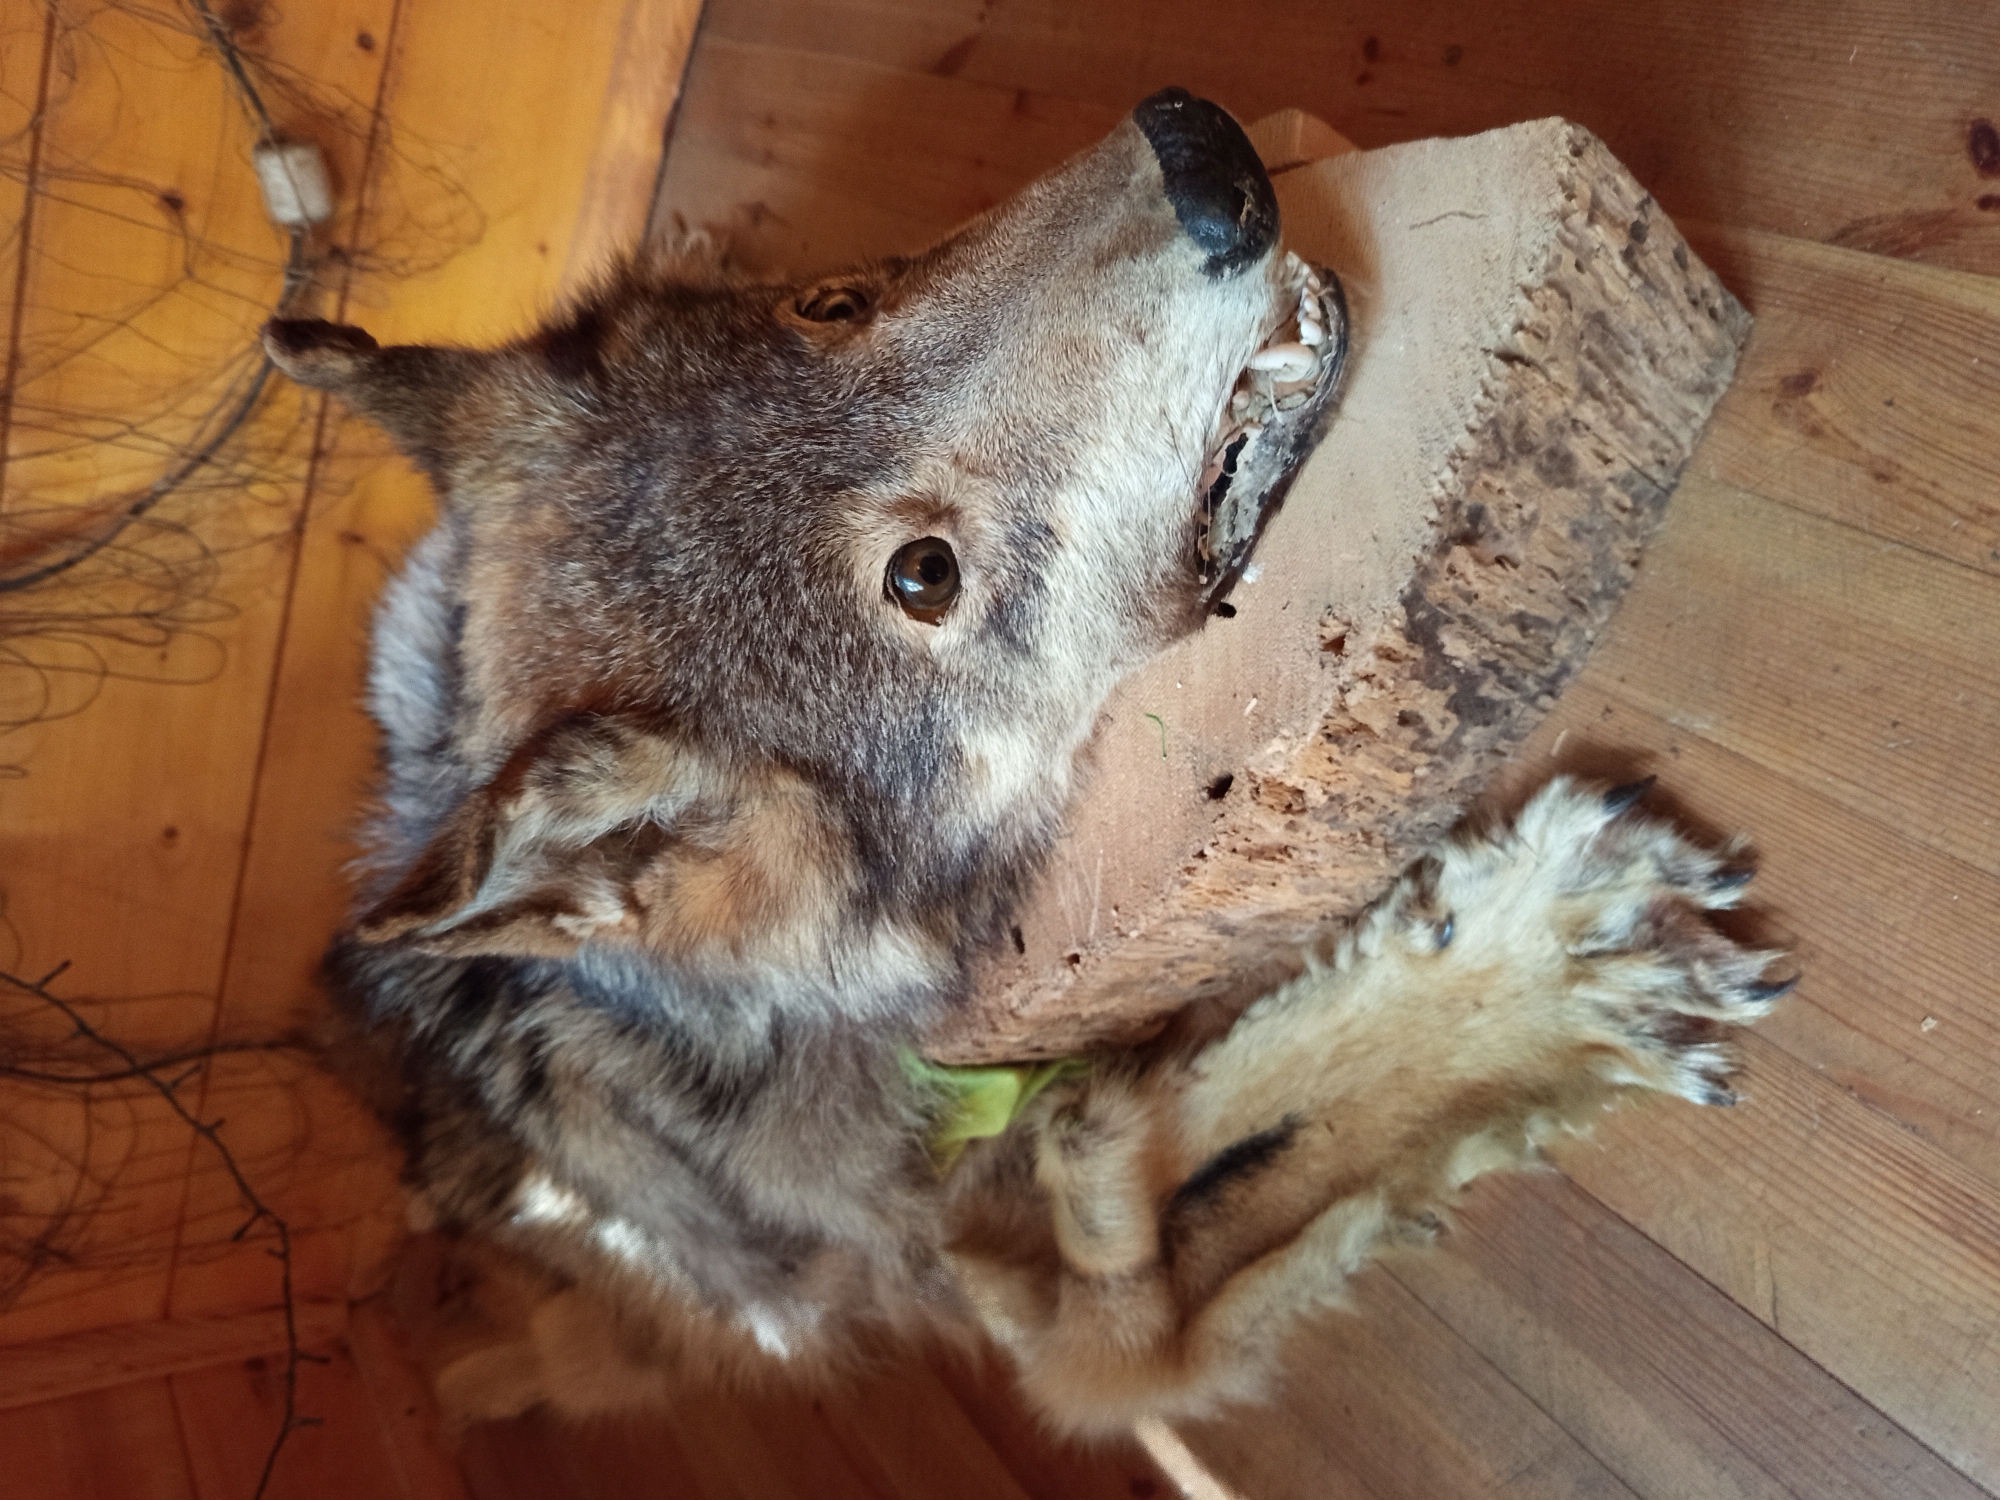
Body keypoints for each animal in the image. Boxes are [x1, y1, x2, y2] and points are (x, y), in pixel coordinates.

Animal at [265, 89, 1785, 1436]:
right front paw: (1549, 971)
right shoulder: (1059, 1324)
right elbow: (1186, 1155)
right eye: (922, 575)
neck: (764, 1018)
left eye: (833, 309)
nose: (1202, 156)